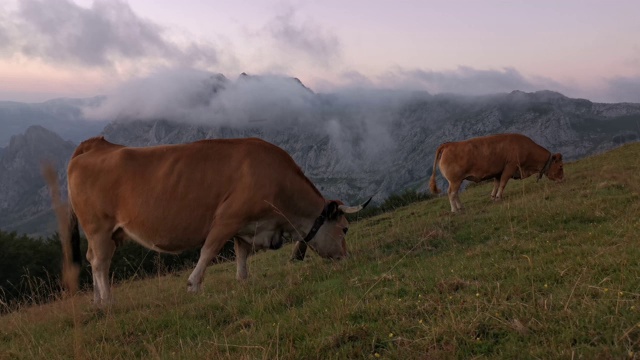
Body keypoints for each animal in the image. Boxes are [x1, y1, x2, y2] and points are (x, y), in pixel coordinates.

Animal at [48, 136, 370, 306]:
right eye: (345, 229)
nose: (348, 258)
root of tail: (98, 144)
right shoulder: (227, 218)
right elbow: (209, 251)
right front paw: (194, 284)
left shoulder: (246, 227)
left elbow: (241, 254)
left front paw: (243, 280)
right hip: (99, 228)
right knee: (100, 263)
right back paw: (107, 302)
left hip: (108, 233)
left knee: (94, 261)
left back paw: (98, 300)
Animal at [428, 133, 564, 212]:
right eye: (561, 166)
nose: (563, 179)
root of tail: (448, 144)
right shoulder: (510, 167)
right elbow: (503, 183)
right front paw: (498, 197)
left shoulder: (498, 172)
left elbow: (496, 184)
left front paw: (493, 197)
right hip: (455, 180)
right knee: (451, 193)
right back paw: (455, 210)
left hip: (456, 180)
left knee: (455, 194)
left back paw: (461, 207)